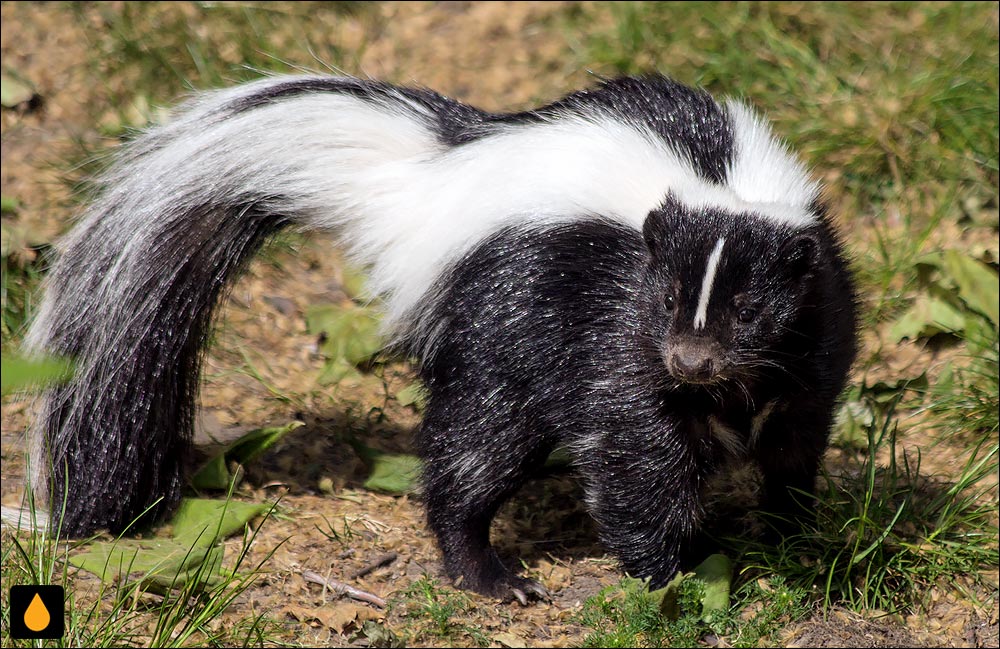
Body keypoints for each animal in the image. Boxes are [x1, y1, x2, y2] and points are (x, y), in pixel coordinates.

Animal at [23, 74, 856, 604]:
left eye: (749, 309)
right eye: (670, 297)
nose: (690, 360)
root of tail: (429, 184)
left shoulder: (813, 344)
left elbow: (794, 444)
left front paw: (792, 535)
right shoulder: (613, 326)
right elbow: (635, 456)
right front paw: (671, 576)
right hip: (501, 320)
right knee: (472, 452)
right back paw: (488, 573)